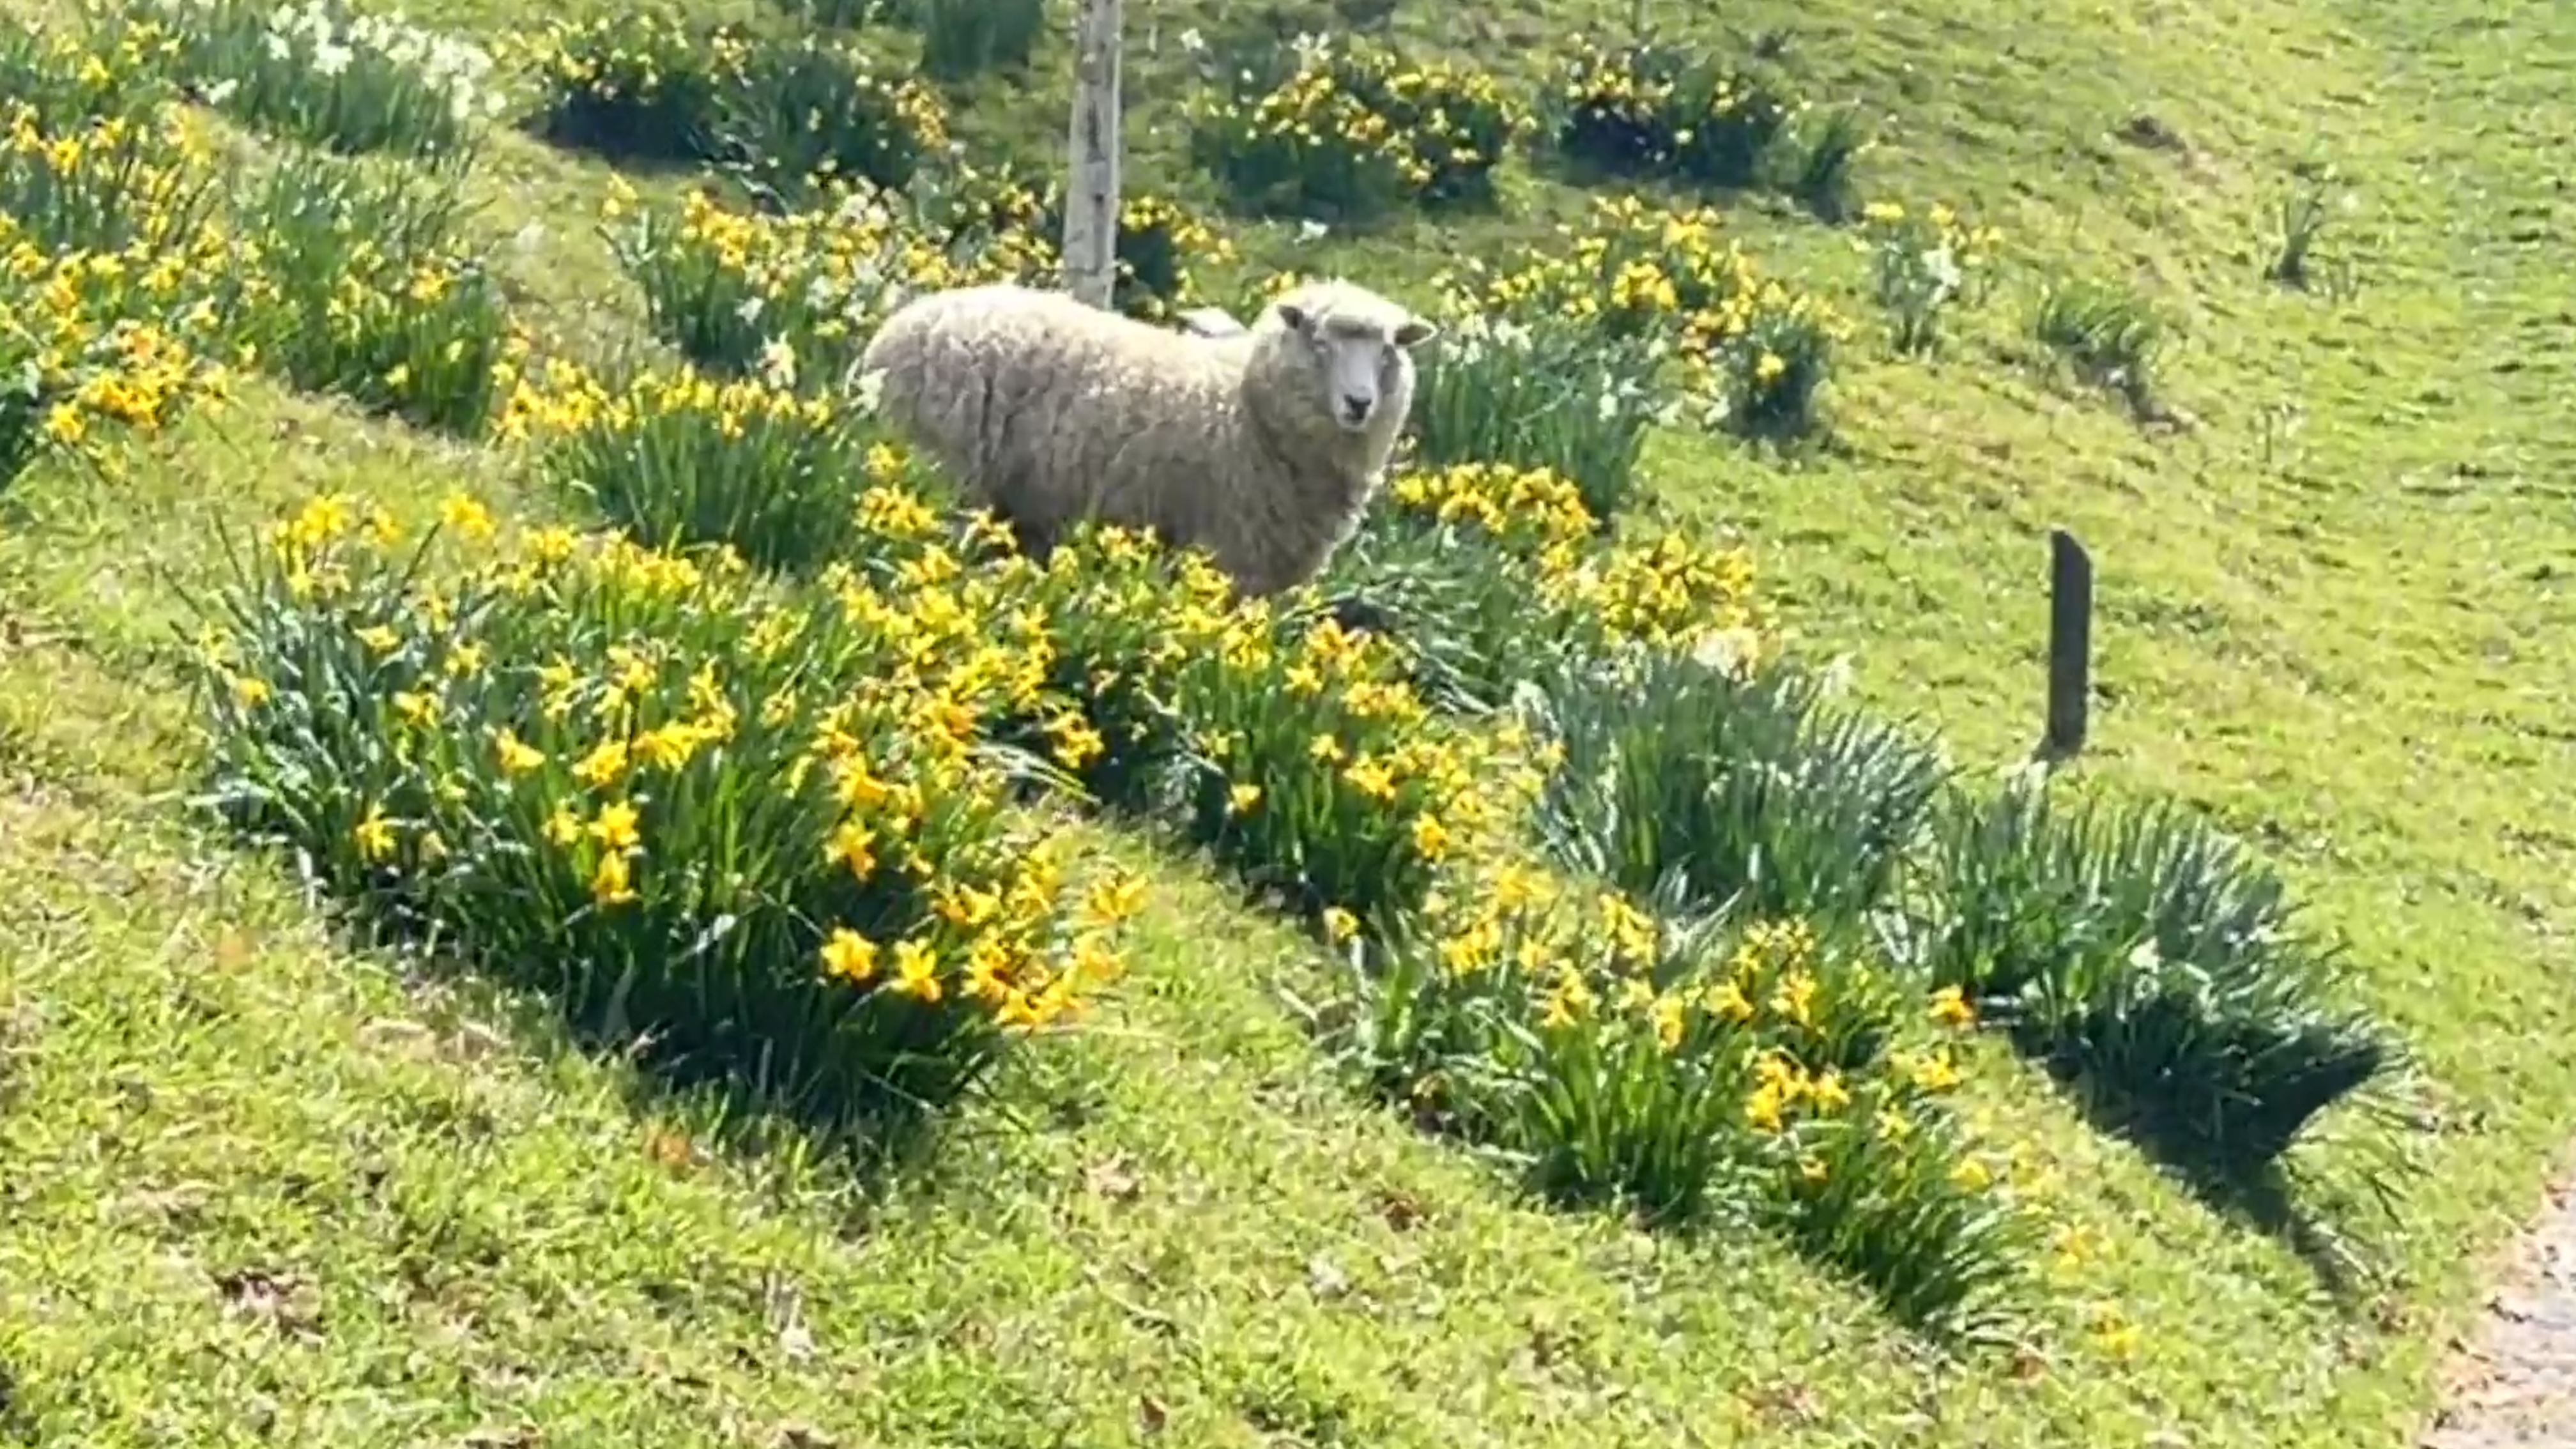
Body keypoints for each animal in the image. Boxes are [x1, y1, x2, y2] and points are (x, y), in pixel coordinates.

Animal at [855, 273, 1442, 595]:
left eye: (1389, 349)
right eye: (1320, 343)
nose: (1360, 404)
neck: (1250, 409)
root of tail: (888, 337)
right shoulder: (1233, 555)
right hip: (943, 472)